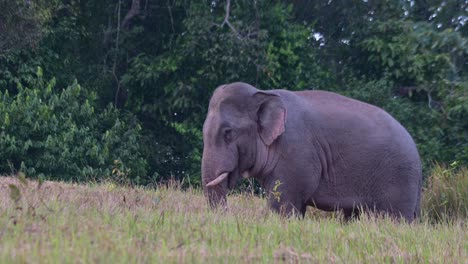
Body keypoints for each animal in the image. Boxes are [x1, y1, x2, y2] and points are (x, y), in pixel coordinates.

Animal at [202, 82, 424, 223]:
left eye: (228, 133)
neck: (263, 93)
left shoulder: (295, 153)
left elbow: (283, 203)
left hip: (398, 179)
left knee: (394, 218)